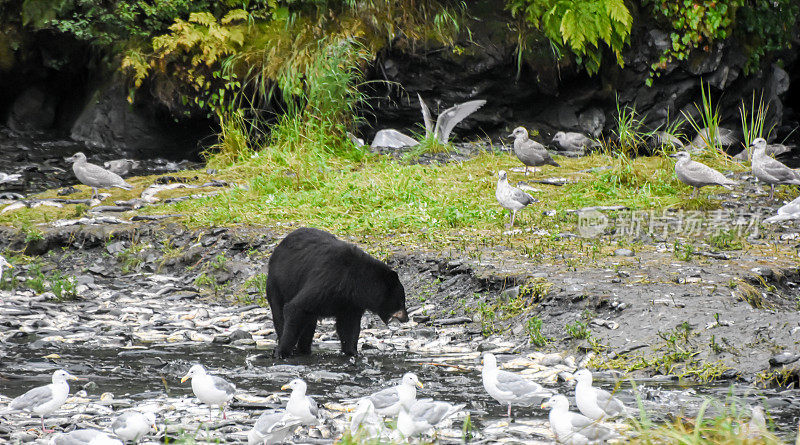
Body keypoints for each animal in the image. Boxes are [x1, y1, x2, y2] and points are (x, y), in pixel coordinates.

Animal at [268, 227, 410, 356]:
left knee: (309, 322)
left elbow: (349, 325)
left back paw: (305, 349)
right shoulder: (327, 280)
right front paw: (282, 351)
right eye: (401, 302)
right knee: (280, 313)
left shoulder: (351, 303)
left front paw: (352, 352)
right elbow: (296, 308)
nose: (406, 318)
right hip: (277, 284)